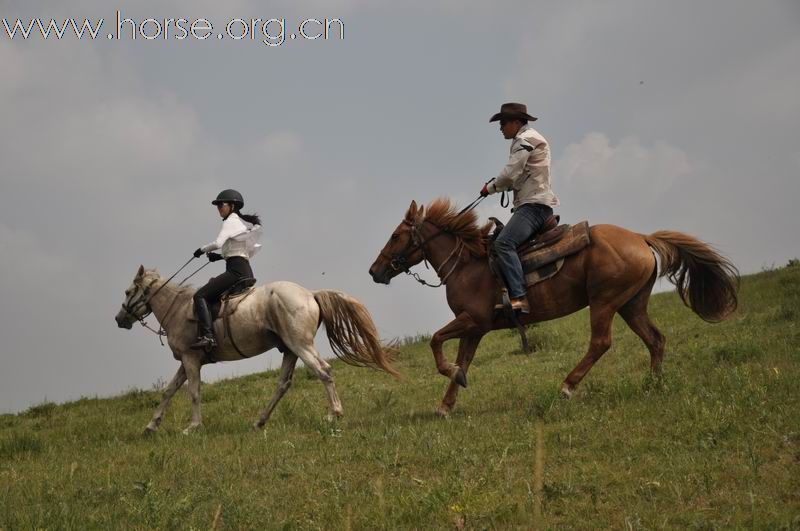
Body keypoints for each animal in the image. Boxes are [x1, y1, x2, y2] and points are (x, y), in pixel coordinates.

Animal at [115, 268, 396, 434]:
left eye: (128, 292)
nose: (119, 319)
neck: (178, 309)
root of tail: (310, 294)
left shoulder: (191, 359)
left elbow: (193, 392)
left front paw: (192, 426)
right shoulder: (186, 362)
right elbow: (169, 391)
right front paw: (151, 425)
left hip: (300, 345)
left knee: (323, 371)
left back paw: (334, 414)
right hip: (290, 350)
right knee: (283, 384)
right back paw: (260, 421)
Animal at [368, 198, 736, 416]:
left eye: (396, 235)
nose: (375, 271)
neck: (468, 264)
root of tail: (640, 238)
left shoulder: (472, 320)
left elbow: (435, 341)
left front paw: (451, 381)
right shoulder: (475, 328)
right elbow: (463, 360)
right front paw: (448, 401)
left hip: (604, 303)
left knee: (601, 342)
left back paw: (567, 387)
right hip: (632, 304)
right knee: (655, 339)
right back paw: (653, 385)